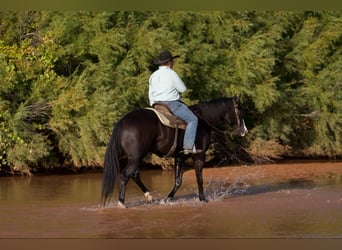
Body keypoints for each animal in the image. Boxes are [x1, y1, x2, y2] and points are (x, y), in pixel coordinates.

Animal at [100, 95, 247, 207]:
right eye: (239, 111)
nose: (244, 131)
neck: (203, 121)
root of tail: (122, 122)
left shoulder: (180, 157)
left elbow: (178, 181)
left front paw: (168, 199)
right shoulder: (199, 155)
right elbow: (199, 178)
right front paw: (203, 199)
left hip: (135, 157)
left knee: (134, 174)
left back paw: (149, 197)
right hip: (135, 158)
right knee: (126, 175)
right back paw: (121, 202)